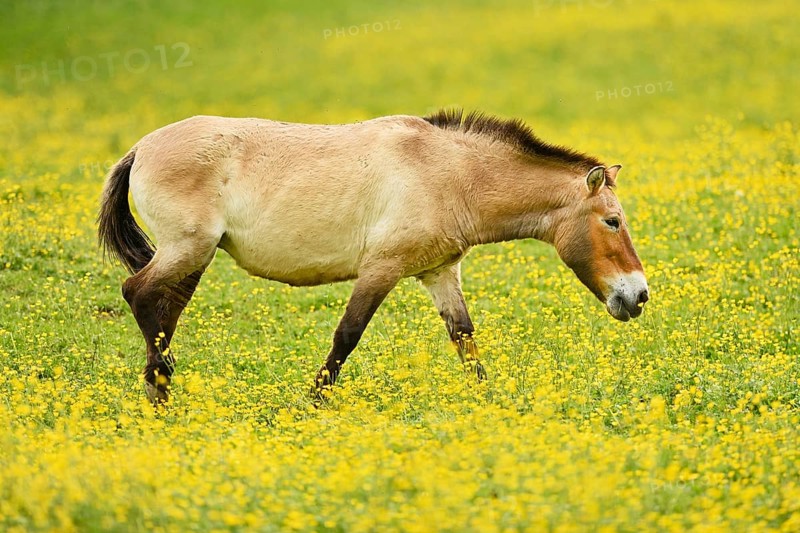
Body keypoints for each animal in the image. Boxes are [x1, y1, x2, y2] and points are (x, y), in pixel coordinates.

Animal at [98, 109, 649, 404]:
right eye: (612, 221)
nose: (639, 296)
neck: (449, 172)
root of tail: (141, 148)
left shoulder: (439, 273)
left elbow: (465, 340)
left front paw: (486, 400)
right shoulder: (381, 270)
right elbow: (347, 335)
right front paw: (315, 402)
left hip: (194, 257)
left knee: (162, 311)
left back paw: (161, 391)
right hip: (187, 249)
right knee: (139, 295)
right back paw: (162, 387)